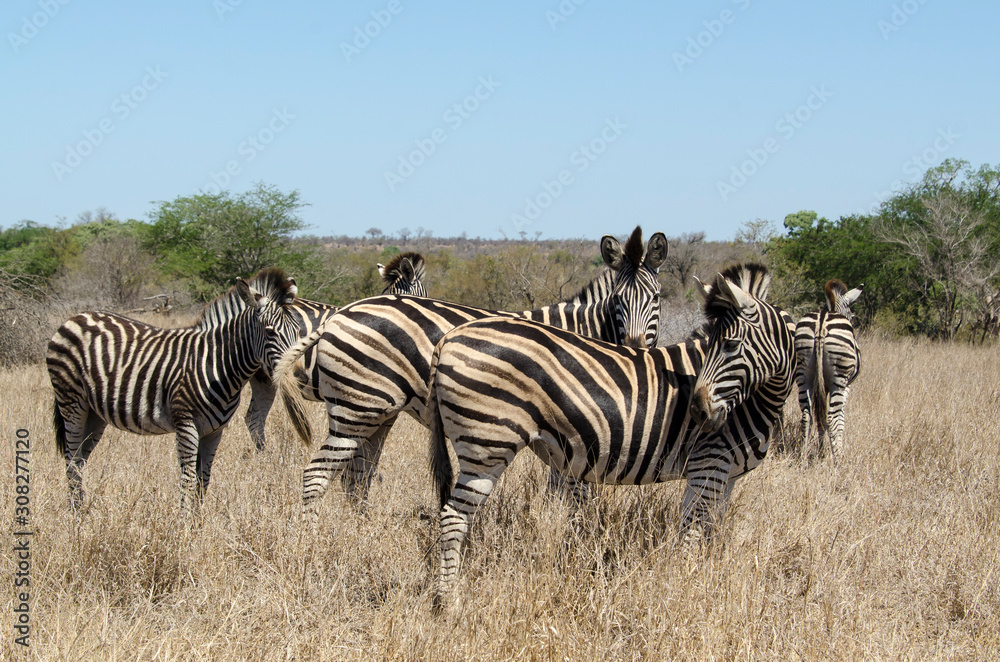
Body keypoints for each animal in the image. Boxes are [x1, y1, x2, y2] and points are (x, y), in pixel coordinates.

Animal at [46, 267, 309, 514]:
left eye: (298, 331)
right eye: (270, 331)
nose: (299, 374)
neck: (217, 364)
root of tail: (76, 317)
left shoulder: (214, 431)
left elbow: (203, 480)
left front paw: (197, 523)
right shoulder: (186, 425)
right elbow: (188, 479)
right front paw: (183, 524)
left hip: (95, 413)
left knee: (80, 459)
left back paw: (81, 510)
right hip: (72, 403)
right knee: (71, 460)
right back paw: (76, 517)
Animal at [273, 226, 668, 517]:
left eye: (656, 298)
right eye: (617, 300)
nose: (635, 347)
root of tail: (339, 314)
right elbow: (575, 496)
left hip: (377, 410)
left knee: (357, 476)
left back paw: (360, 531)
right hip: (357, 407)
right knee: (318, 473)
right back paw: (312, 539)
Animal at [426, 263, 796, 610]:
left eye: (730, 345)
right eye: (715, 346)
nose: (699, 412)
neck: (759, 399)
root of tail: (451, 336)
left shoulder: (727, 474)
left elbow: (712, 533)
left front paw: (708, 575)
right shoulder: (708, 465)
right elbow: (691, 534)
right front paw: (687, 584)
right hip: (487, 445)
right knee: (454, 517)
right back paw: (448, 600)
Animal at [794, 279, 863, 461]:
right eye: (852, 316)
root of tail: (822, 322)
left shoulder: (822, 386)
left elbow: (820, 419)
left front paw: (820, 451)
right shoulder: (846, 386)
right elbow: (840, 419)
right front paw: (832, 451)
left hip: (803, 374)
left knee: (807, 416)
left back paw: (803, 459)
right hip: (839, 378)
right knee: (832, 417)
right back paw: (838, 461)